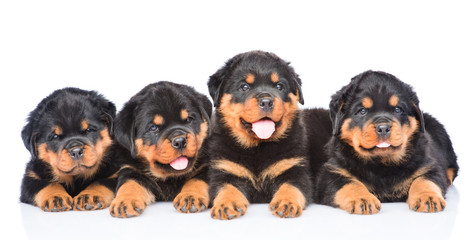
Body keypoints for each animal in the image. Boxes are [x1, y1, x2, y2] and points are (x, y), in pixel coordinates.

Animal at [109, 80, 212, 218]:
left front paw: (190, 196)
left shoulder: (207, 166)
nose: (180, 141)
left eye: (189, 119)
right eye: (153, 128)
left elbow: (197, 179)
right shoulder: (131, 169)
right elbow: (129, 184)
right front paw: (124, 201)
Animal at [207, 51, 312, 219]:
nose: (266, 102)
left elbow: (291, 186)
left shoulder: (294, 169)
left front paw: (286, 202)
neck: (258, 147)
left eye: (279, 86)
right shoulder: (225, 169)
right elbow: (226, 188)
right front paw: (227, 204)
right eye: (244, 87)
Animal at [316, 71, 460, 214]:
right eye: (362, 111)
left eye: (397, 109)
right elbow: (349, 183)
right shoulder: (332, 172)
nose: (383, 128)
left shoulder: (428, 166)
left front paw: (428, 197)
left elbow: (424, 180)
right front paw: (362, 199)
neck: (382, 163)